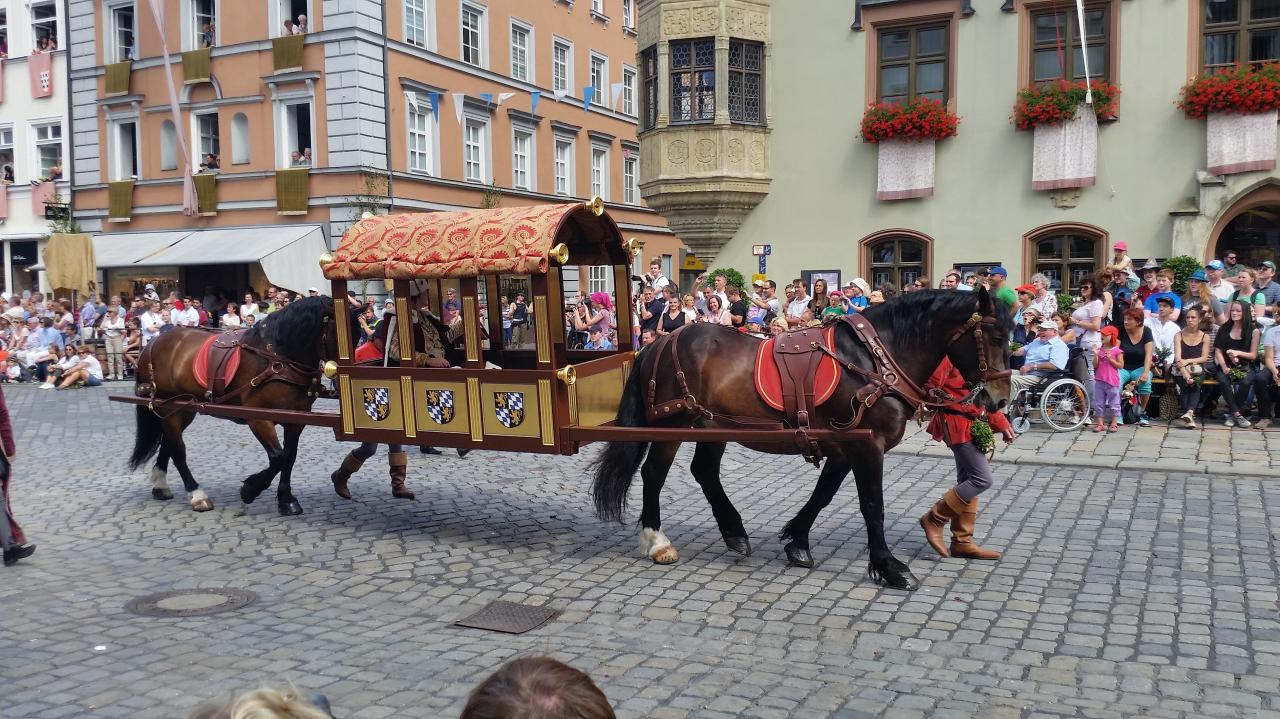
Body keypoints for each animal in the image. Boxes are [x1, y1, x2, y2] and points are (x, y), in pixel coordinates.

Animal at [128, 296, 345, 514]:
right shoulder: (258, 419)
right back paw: (197, 495)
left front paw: (286, 499)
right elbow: (278, 457)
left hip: (183, 409)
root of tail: (152, 344)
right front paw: (250, 489)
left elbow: (289, 457)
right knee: (178, 450)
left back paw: (160, 485)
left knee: (169, 443)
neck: (277, 357)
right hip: (169, 408)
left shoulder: (297, 418)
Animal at [588, 287, 1008, 591]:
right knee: (654, 474)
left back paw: (734, 532)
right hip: (673, 425)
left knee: (703, 472)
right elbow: (872, 506)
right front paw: (889, 567)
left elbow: (822, 495)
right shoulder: (866, 446)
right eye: (993, 335)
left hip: (712, 426)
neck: (874, 360)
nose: (999, 399)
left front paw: (797, 541)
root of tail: (658, 342)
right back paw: (657, 541)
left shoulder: (843, 447)